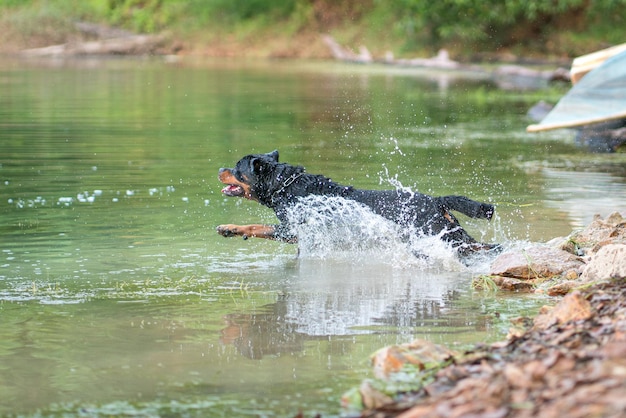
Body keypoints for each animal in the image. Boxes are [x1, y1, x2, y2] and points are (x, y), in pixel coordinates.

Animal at [217, 149, 500, 256]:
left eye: (237, 167)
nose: (220, 168)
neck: (286, 186)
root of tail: (436, 200)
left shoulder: (293, 230)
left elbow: (256, 226)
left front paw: (230, 228)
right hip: (454, 234)